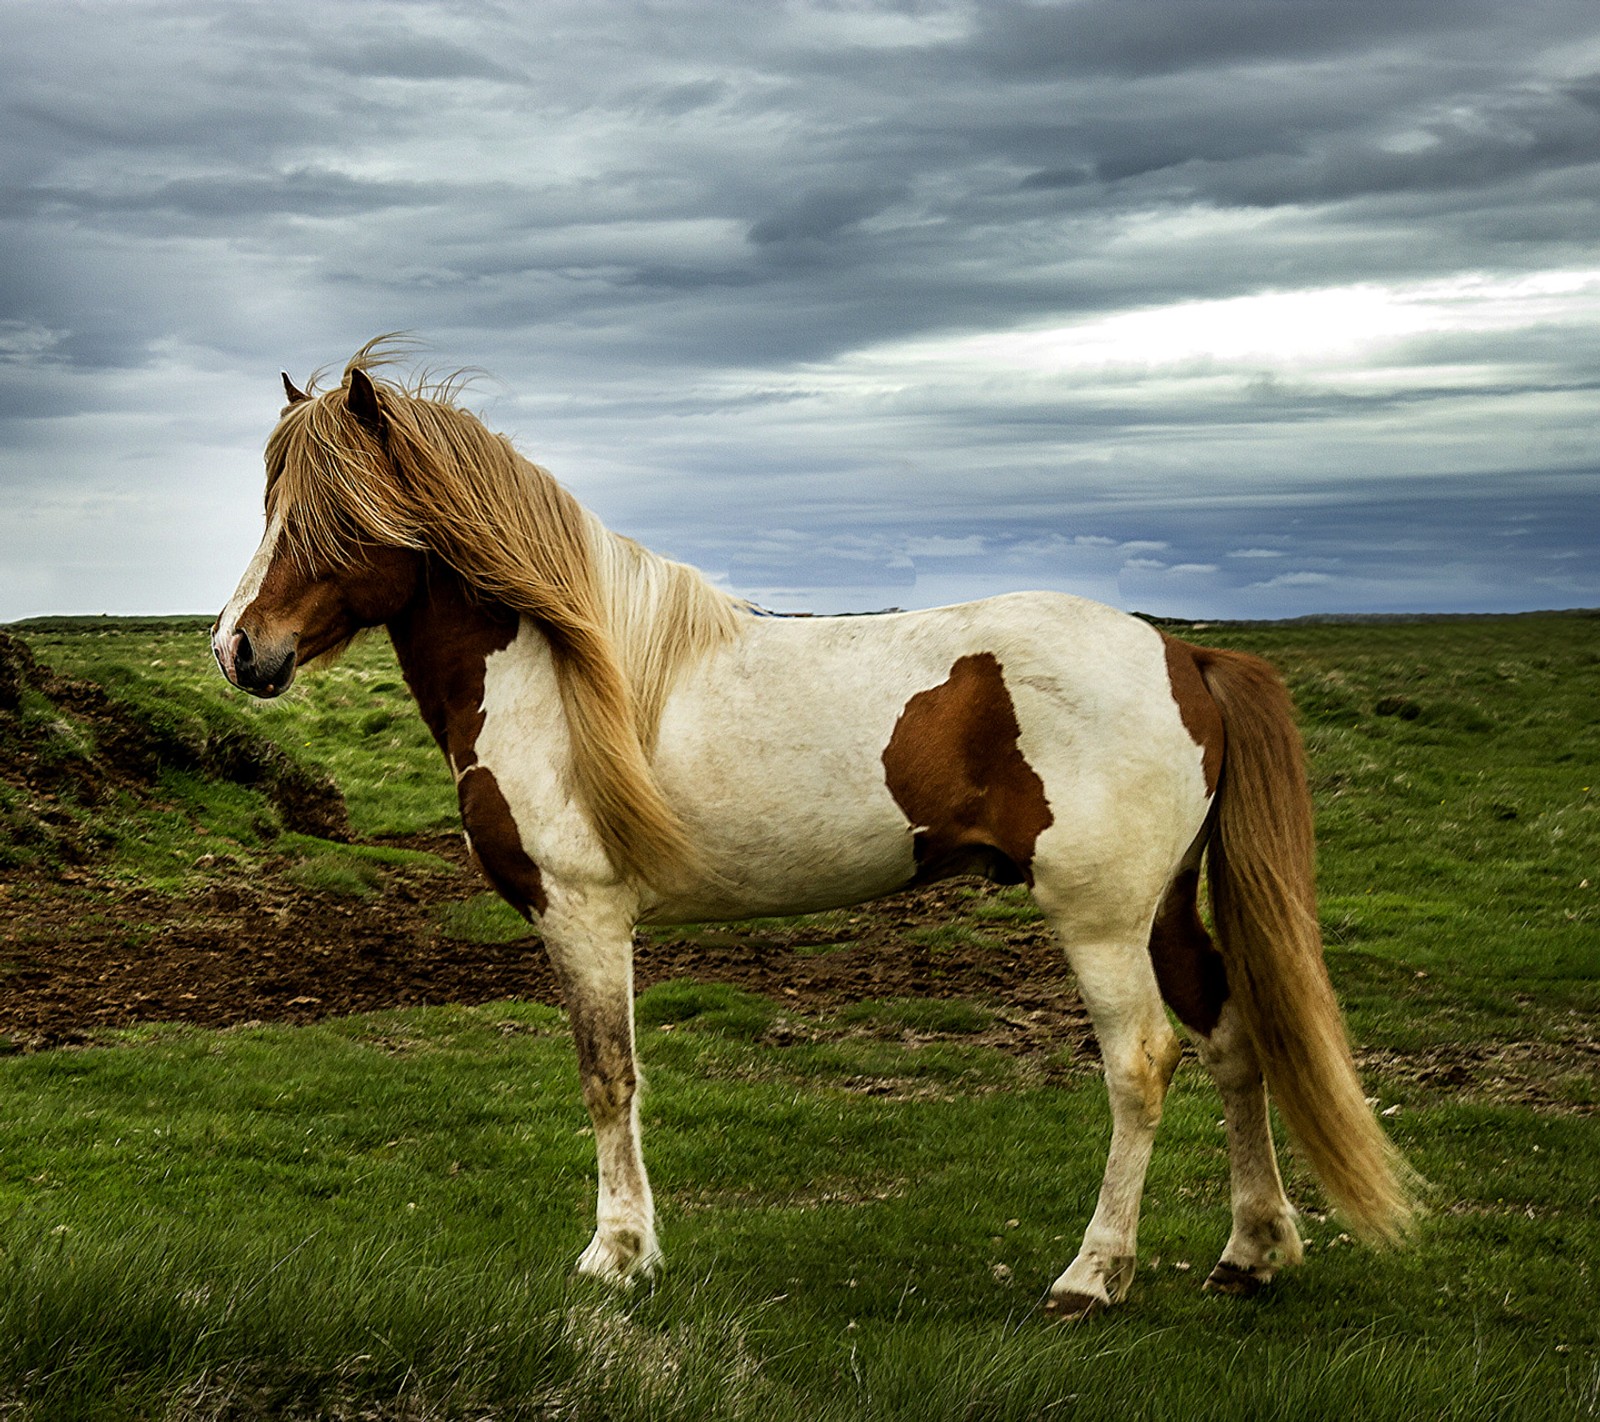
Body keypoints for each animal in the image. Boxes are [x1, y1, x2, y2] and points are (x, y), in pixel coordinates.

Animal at [209, 347, 1414, 1318]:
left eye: (337, 517)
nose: (237, 648)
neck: (559, 673)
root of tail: (1185, 654)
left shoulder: (584, 916)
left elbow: (609, 1077)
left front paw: (617, 1256)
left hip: (1103, 919)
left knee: (1142, 1065)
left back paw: (1090, 1276)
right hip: (1164, 909)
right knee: (1232, 1044)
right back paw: (1250, 1254)